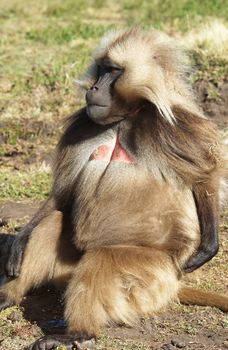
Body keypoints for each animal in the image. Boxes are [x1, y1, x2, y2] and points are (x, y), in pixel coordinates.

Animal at [0, 28, 228, 350]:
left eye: (114, 71)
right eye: (101, 69)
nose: (94, 88)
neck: (125, 119)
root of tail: (173, 285)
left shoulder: (175, 128)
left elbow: (206, 174)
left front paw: (208, 247)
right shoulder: (82, 124)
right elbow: (63, 193)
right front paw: (20, 240)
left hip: (153, 273)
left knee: (103, 260)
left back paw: (77, 333)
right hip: (71, 266)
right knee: (54, 222)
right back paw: (9, 296)